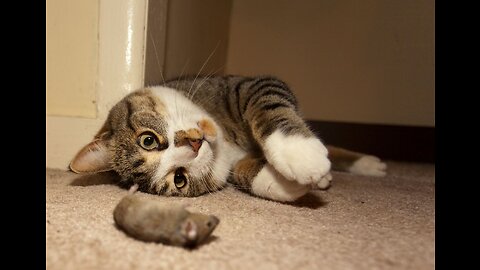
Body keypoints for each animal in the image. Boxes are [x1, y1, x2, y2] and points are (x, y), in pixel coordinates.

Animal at [70, 75, 386, 201]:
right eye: (179, 178)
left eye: (147, 140)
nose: (194, 144)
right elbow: (246, 171)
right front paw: (286, 184)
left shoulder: (239, 86)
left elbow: (267, 102)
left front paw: (299, 153)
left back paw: (370, 164)